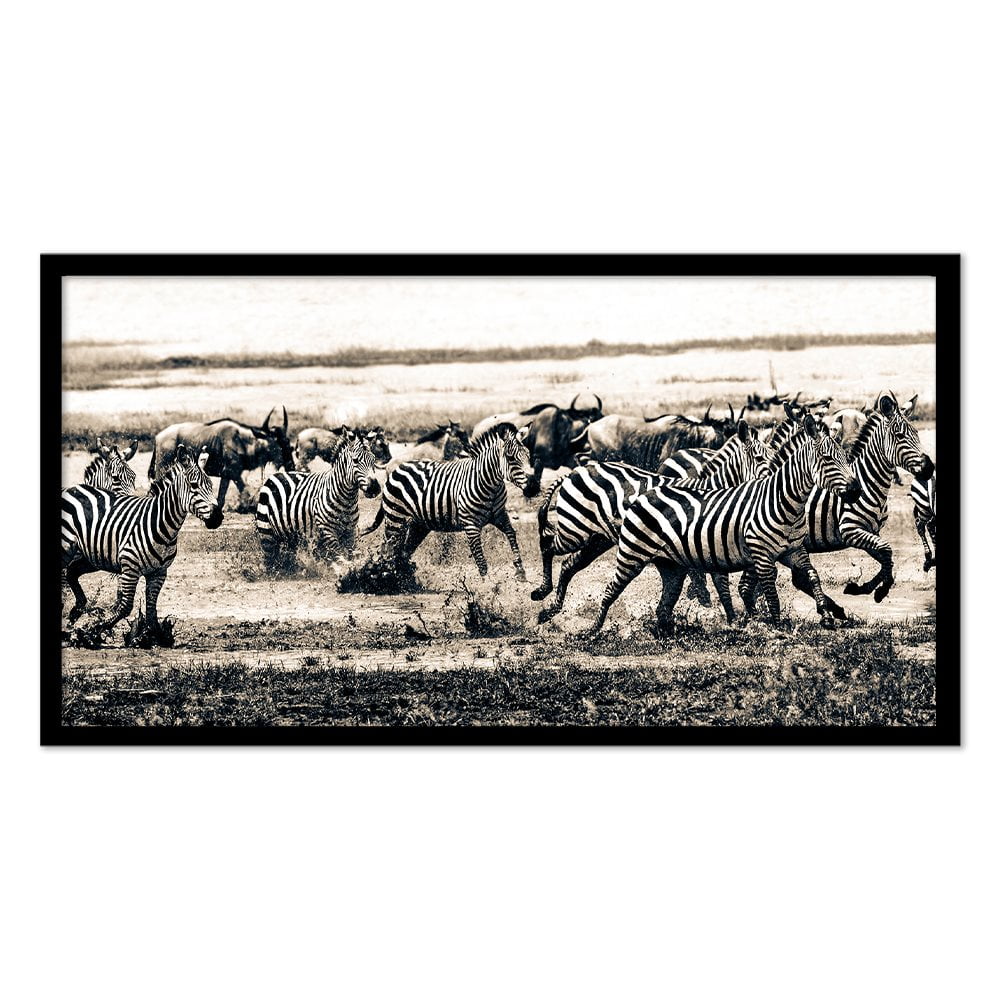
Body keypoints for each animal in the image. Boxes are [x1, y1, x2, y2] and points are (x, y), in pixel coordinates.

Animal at [61, 446, 223, 643]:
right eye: (194, 486)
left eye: (211, 485)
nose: (218, 517)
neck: (162, 525)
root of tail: (72, 488)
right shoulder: (130, 568)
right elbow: (125, 607)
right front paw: (94, 630)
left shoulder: (159, 573)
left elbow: (151, 610)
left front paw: (156, 636)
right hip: (67, 549)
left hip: (92, 557)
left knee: (71, 572)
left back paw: (75, 613)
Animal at [256, 430, 381, 572]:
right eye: (355, 460)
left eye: (373, 460)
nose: (374, 487)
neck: (346, 500)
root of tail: (276, 475)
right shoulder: (326, 530)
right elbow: (339, 555)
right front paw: (344, 571)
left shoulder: (350, 531)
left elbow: (351, 554)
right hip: (266, 532)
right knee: (270, 559)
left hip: (291, 534)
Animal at [361, 422, 533, 580]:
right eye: (511, 458)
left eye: (528, 456)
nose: (534, 487)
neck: (489, 485)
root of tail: (396, 469)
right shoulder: (470, 525)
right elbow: (480, 558)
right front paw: (488, 586)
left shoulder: (499, 515)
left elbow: (511, 534)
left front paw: (520, 571)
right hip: (395, 519)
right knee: (387, 549)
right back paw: (384, 577)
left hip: (418, 525)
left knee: (403, 552)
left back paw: (403, 579)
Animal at [531, 421, 774, 623]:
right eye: (760, 459)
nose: (773, 482)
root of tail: (576, 471)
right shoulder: (706, 542)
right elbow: (719, 584)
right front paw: (736, 620)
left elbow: (719, 586)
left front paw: (736, 619)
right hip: (575, 529)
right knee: (548, 545)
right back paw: (542, 591)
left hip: (597, 539)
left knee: (568, 565)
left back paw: (550, 610)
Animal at [582, 415, 860, 637]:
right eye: (827, 459)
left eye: (846, 457)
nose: (856, 489)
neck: (786, 503)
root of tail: (642, 496)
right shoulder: (760, 555)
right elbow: (769, 592)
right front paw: (776, 626)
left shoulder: (793, 551)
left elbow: (813, 576)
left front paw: (826, 616)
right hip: (632, 555)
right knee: (611, 588)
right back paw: (593, 630)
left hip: (671, 566)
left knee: (665, 602)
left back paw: (668, 632)